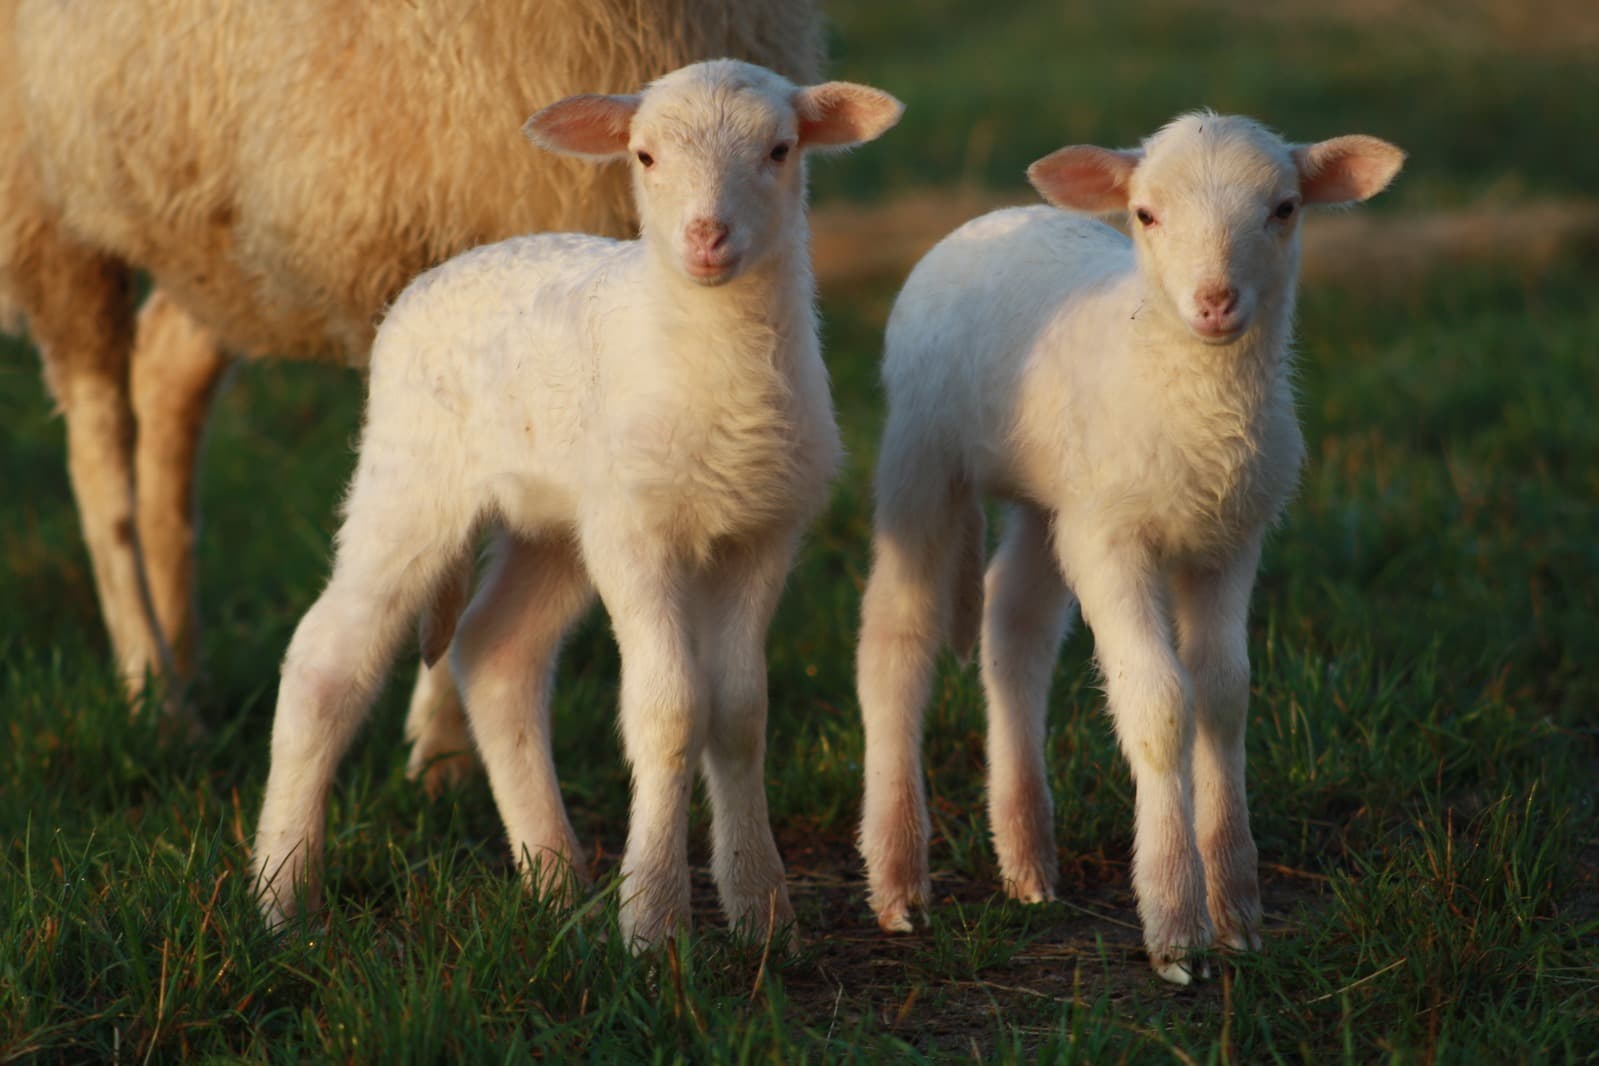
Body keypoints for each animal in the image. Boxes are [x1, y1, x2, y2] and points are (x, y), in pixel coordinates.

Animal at [0, 0, 818, 783]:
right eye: (645, 154)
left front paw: (445, 746)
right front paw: (443, 745)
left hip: (204, 239)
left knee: (166, 372)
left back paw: (184, 657)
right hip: (50, 201)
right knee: (99, 443)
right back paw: (154, 690)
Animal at [251, 59, 904, 947]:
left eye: (779, 149)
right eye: (644, 156)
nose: (706, 238)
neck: (716, 370)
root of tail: (440, 272)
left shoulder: (763, 532)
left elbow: (739, 712)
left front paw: (762, 912)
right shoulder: (635, 532)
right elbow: (670, 710)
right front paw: (654, 920)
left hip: (554, 523)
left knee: (496, 652)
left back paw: (555, 879)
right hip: (410, 476)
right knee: (326, 660)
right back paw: (282, 898)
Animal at [854, 112, 1403, 983]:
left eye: (1283, 209)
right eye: (1145, 214)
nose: (1214, 303)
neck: (1188, 394)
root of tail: (995, 215)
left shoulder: (1227, 539)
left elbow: (1223, 693)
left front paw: (1236, 907)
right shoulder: (1113, 542)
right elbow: (1159, 700)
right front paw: (1176, 925)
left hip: (1052, 497)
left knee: (1013, 625)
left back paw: (1026, 861)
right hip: (921, 452)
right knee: (895, 635)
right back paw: (900, 881)